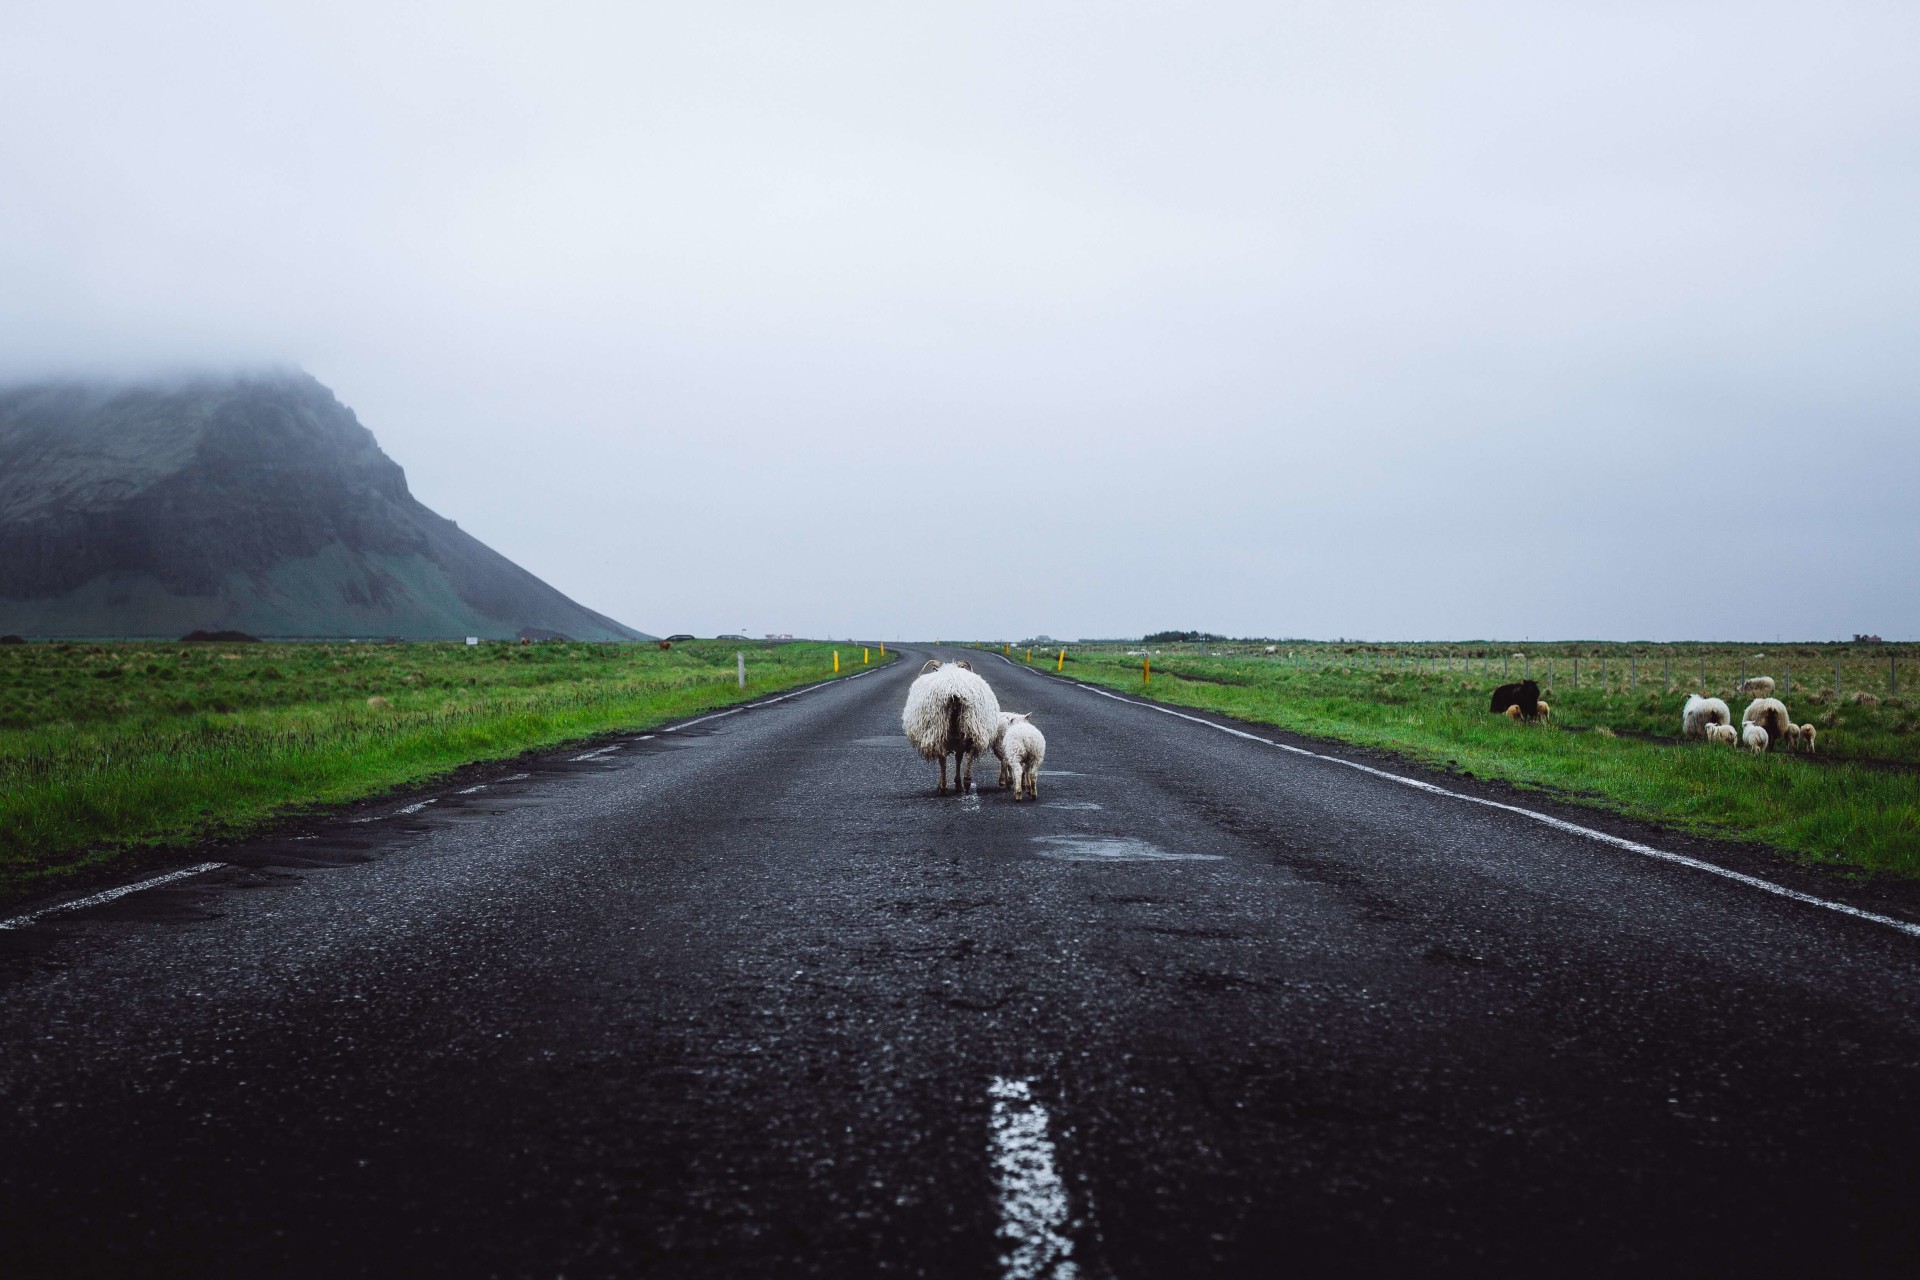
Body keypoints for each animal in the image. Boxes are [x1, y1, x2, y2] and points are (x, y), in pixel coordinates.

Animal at [902, 660, 1006, 790]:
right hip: (972, 724)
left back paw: (943, 786)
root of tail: (954, 691)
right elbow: (958, 758)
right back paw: (966, 781)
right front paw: (958, 782)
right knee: (969, 752)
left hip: (938, 727)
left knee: (942, 757)